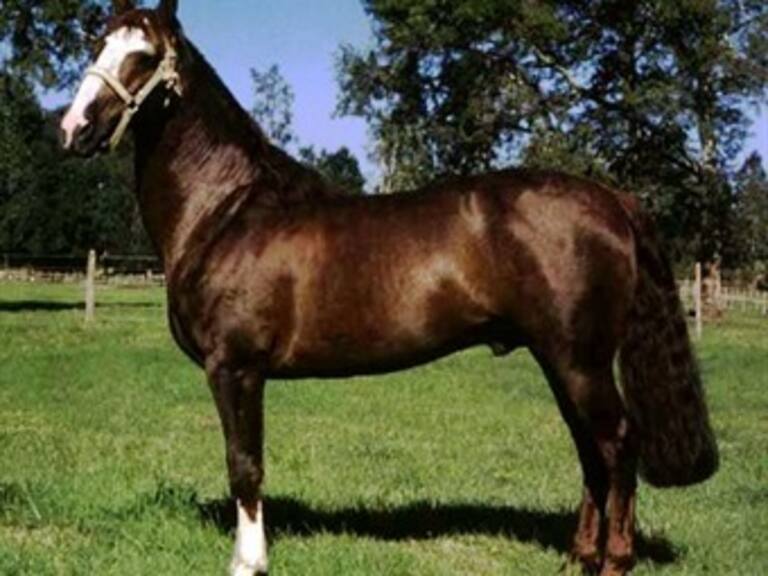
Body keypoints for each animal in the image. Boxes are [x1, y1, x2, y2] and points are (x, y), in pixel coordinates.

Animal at [60, 1, 718, 574]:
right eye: (97, 46)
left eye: (144, 56)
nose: (75, 129)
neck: (227, 210)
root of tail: (611, 197)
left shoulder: (235, 368)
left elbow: (244, 465)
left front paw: (249, 562)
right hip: (562, 361)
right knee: (590, 450)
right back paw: (578, 557)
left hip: (579, 362)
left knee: (618, 446)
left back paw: (614, 561)